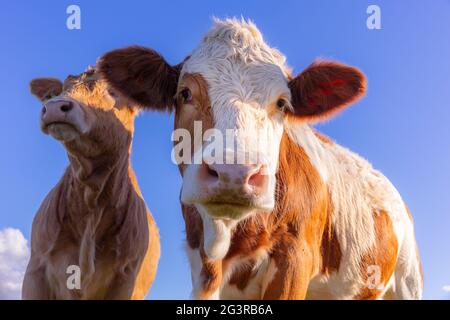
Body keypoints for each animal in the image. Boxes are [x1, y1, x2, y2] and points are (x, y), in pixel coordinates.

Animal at [97, 18, 422, 298]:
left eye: (282, 103)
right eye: (185, 93)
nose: (234, 172)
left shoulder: (295, 256)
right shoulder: (201, 266)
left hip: (407, 281)